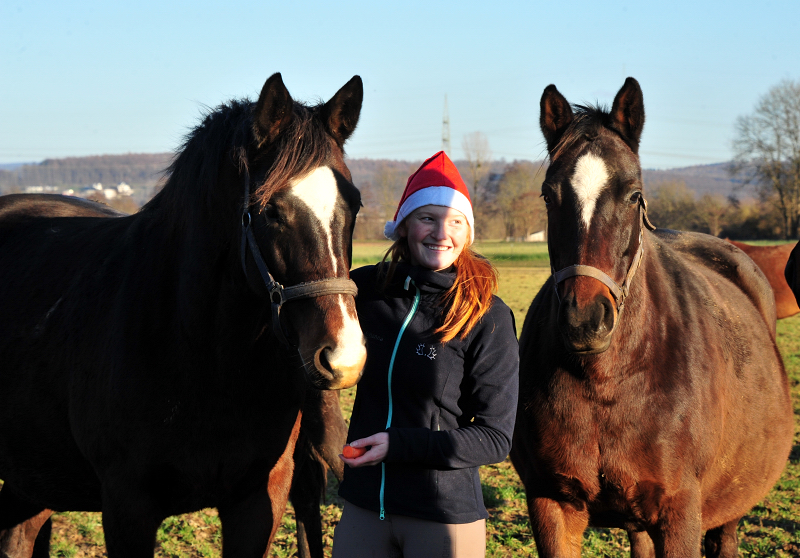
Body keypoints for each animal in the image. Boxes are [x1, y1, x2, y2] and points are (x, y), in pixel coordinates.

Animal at [512, 80, 792, 558]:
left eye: (634, 195)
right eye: (550, 195)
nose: (585, 320)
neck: (606, 381)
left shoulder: (679, 514)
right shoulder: (551, 505)